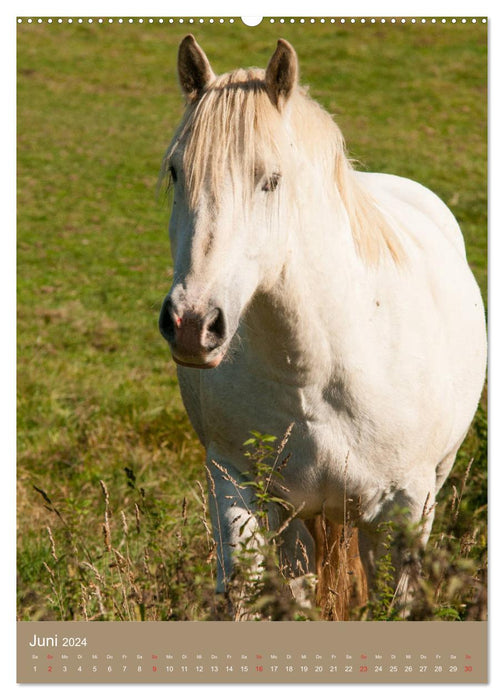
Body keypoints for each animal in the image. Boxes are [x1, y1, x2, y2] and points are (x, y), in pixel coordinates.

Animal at [159, 35, 486, 616]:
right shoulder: (235, 488)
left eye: (271, 181)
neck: (317, 370)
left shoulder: (404, 512)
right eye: (177, 172)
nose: (193, 324)